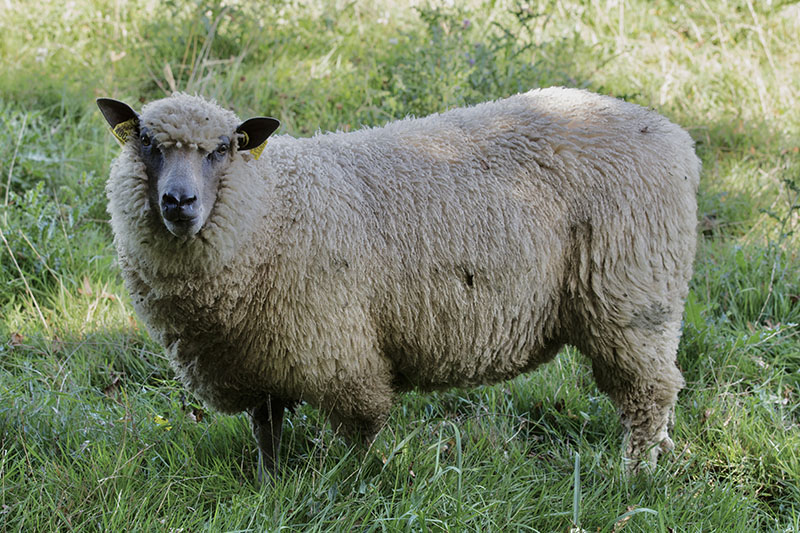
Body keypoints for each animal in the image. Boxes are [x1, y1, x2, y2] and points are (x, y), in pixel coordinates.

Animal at [98, 89, 700, 480]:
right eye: (146, 141)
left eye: (222, 148)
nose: (179, 202)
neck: (271, 205)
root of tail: (674, 137)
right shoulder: (258, 361)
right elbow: (267, 430)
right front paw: (272, 486)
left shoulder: (340, 351)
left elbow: (359, 432)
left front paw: (354, 486)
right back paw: (659, 460)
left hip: (633, 296)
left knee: (650, 392)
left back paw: (635, 474)